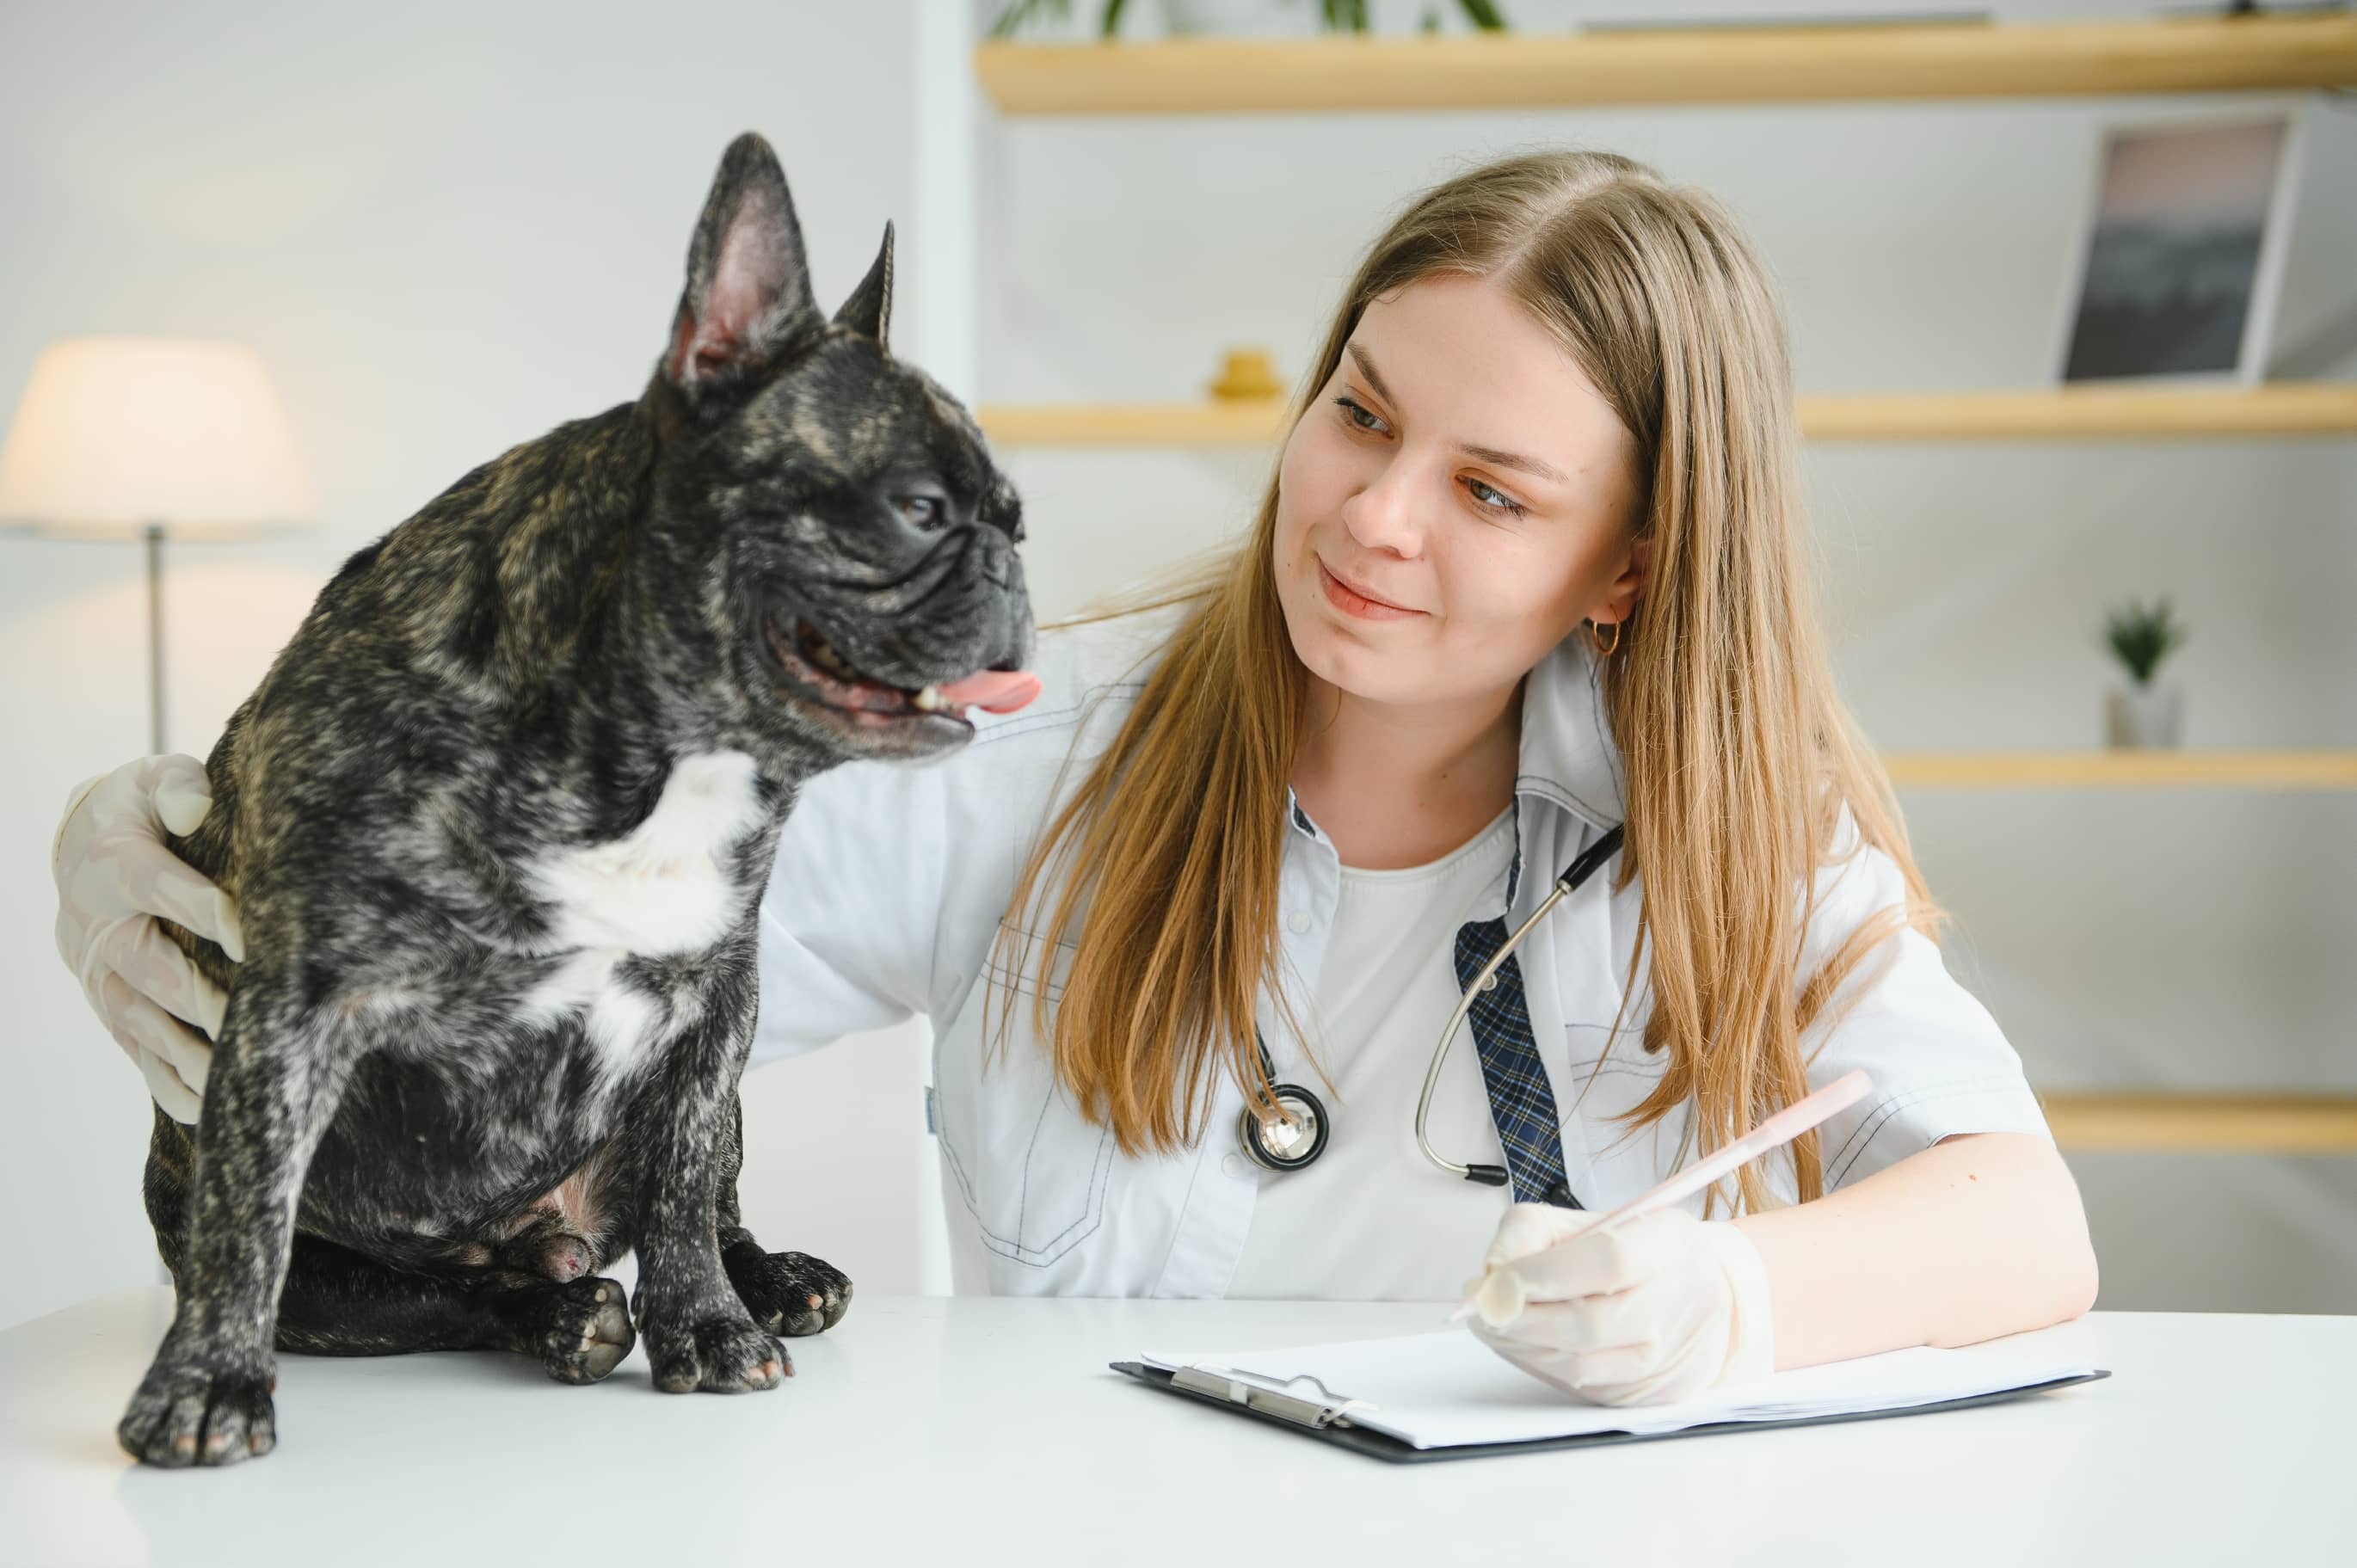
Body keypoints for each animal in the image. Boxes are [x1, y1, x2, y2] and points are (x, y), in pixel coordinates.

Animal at [114, 134, 1027, 1471]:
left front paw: (707, 1321)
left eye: (1012, 517)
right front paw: (205, 1388)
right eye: (918, 509)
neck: (645, 752)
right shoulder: (294, 1007)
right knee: (425, 1293)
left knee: (695, 1193)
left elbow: (689, 1177)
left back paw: (761, 1278)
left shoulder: (716, 1001)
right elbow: (249, 1217)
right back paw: (559, 1314)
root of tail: (537, 1233)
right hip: (332, 1260)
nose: (1012, 562)